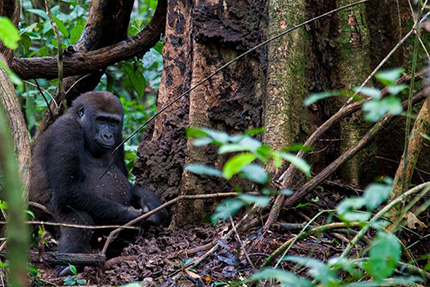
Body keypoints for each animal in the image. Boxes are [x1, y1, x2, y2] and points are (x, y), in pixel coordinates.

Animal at [29, 91, 168, 272]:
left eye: (113, 122)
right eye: (101, 120)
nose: (108, 135)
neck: (79, 122)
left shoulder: (119, 137)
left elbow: (128, 184)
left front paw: (151, 204)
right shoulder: (66, 130)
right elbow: (69, 191)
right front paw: (132, 216)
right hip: (42, 215)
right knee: (80, 220)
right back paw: (67, 265)